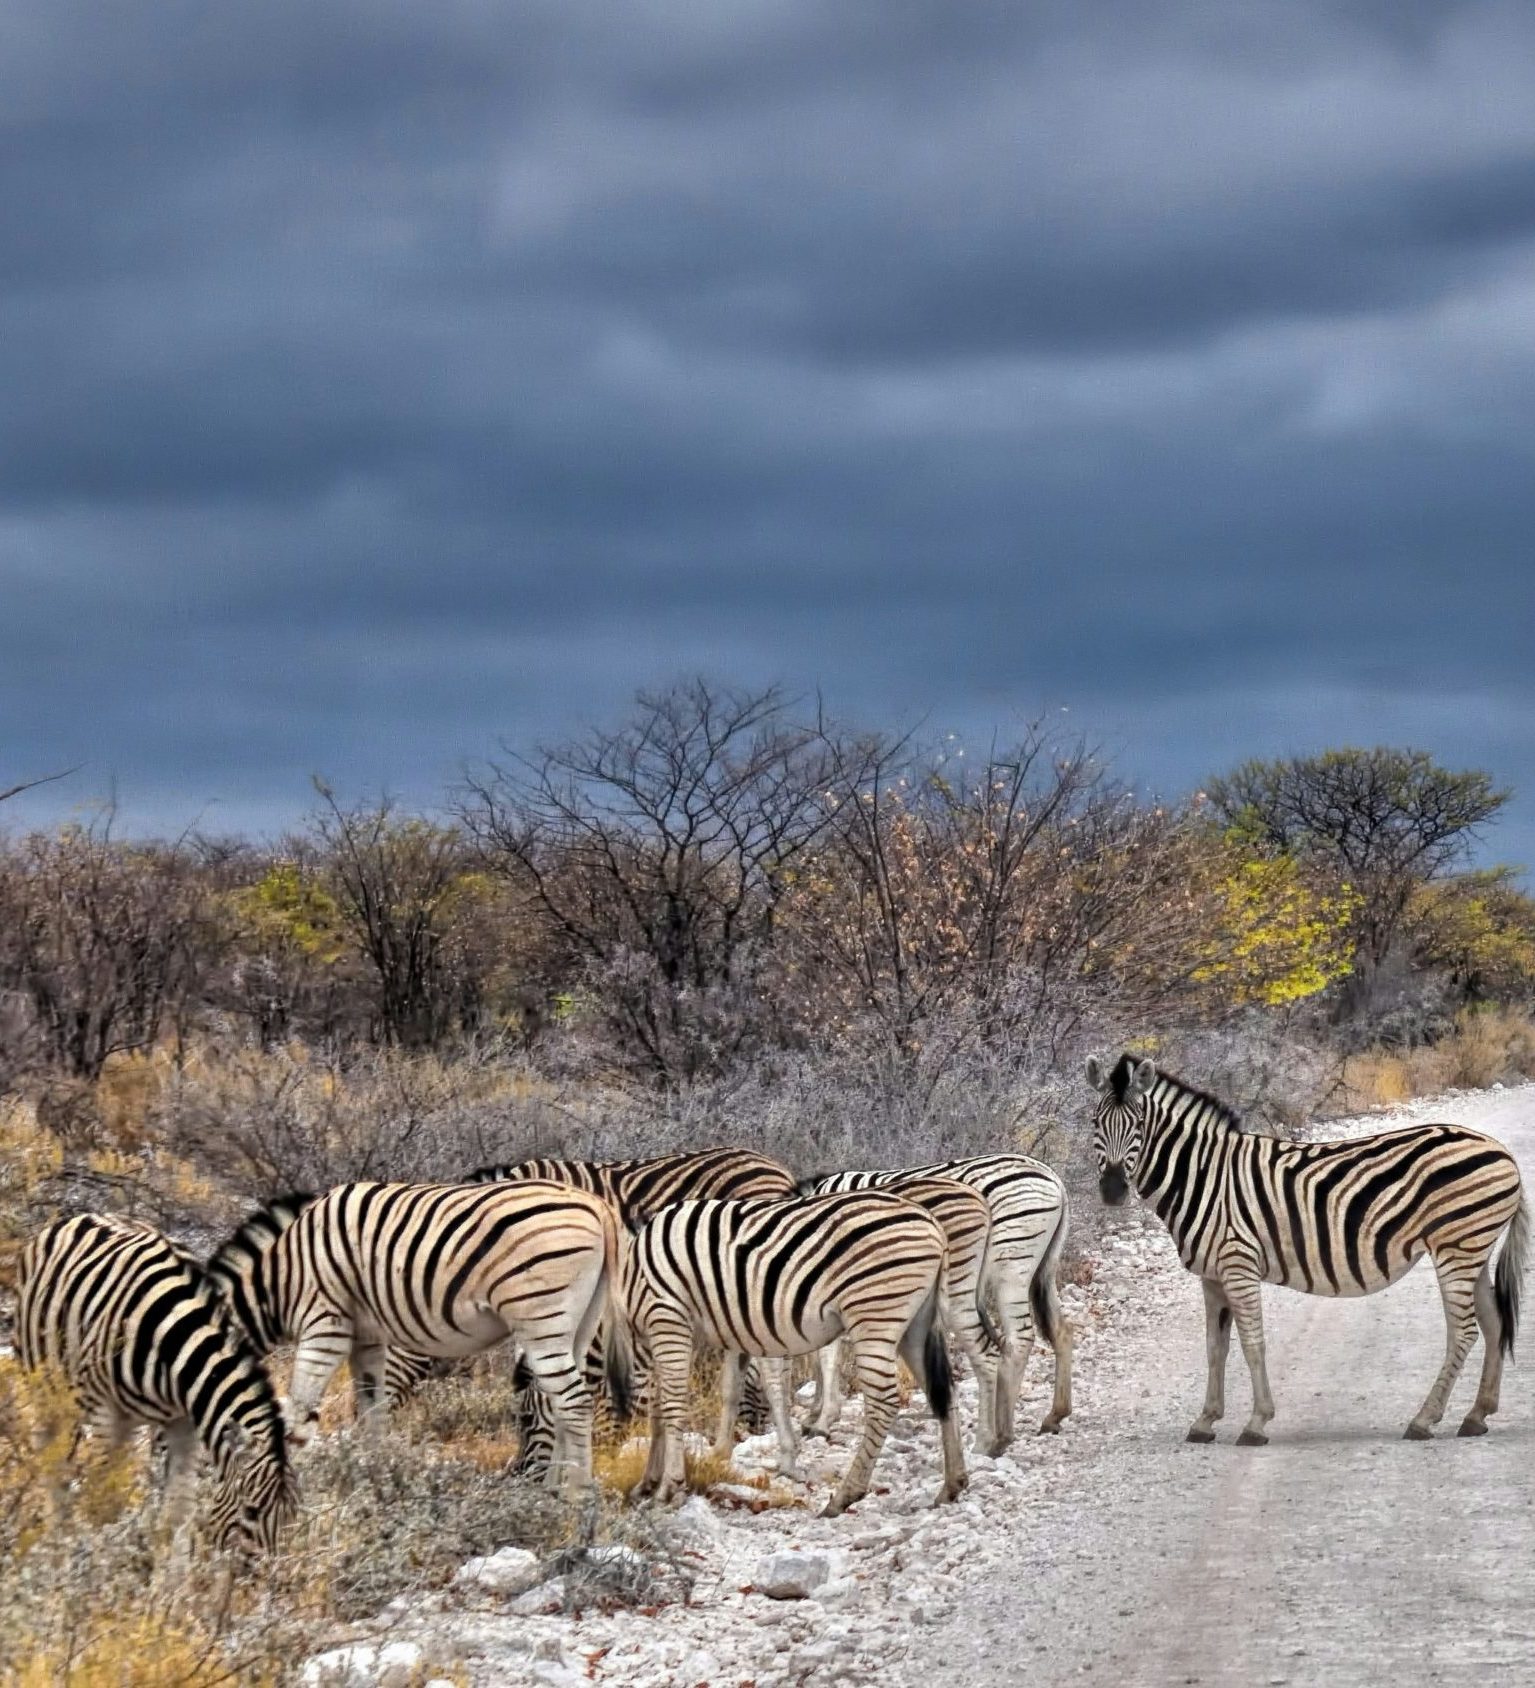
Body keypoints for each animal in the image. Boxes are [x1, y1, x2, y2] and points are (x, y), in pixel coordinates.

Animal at [16, 1212, 297, 1553]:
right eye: (251, 1511)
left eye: (293, 1515)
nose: (272, 1568)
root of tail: (78, 1217)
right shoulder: (102, 1412)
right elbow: (103, 1504)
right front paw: (103, 1560)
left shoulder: (185, 1420)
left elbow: (177, 1512)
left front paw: (169, 1567)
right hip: (49, 1391)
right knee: (53, 1467)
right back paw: (59, 1545)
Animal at [208, 1179, 632, 1491]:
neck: (282, 1276)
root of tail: (598, 1207)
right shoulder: (367, 1338)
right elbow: (372, 1411)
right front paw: (372, 1476)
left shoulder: (325, 1325)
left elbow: (297, 1414)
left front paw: (292, 1487)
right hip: (579, 1324)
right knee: (562, 1400)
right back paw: (553, 1487)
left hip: (541, 1318)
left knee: (574, 1401)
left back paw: (576, 1494)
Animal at [626, 1190, 967, 1516]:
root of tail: (932, 1223)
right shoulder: (729, 1333)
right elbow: (720, 1393)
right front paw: (662, 1477)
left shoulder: (668, 1320)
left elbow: (671, 1405)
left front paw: (667, 1487)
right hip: (916, 1325)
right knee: (943, 1390)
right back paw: (952, 1485)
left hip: (875, 1315)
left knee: (883, 1402)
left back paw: (844, 1496)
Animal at [802, 1172, 1009, 1453]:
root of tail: (980, 1200)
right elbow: (821, 1358)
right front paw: (817, 1413)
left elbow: (824, 1358)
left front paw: (822, 1419)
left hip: (955, 1290)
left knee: (985, 1351)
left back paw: (984, 1442)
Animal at [1086, 1052, 1529, 1444]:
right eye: (1094, 1123)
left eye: (1138, 1125)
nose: (1112, 1191)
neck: (1202, 1175)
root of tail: (1502, 1151)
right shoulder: (1211, 1276)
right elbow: (1215, 1348)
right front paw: (1205, 1422)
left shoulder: (1238, 1263)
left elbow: (1252, 1344)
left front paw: (1257, 1423)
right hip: (1473, 1249)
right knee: (1493, 1323)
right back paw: (1476, 1415)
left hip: (1457, 1247)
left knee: (1464, 1331)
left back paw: (1424, 1419)